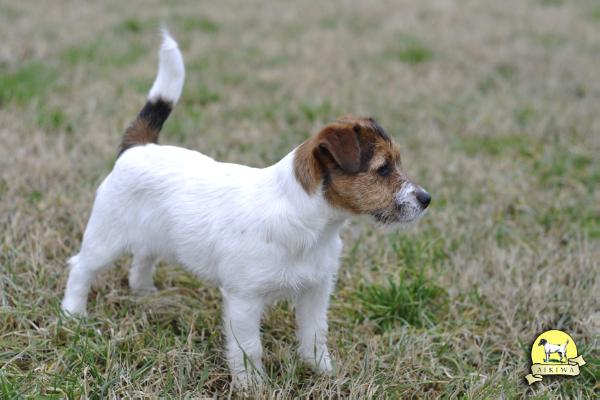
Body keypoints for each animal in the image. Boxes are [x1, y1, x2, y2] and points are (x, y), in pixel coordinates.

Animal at [62, 32, 432, 388]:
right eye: (383, 169)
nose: (426, 199)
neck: (308, 221)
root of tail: (138, 147)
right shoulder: (244, 300)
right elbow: (249, 349)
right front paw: (252, 385)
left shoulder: (315, 291)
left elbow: (315, 336)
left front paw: (324, 372)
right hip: (105, 237)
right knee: (81, 268)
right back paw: (72, 315)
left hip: (155, 233)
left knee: (143, 256)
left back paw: (143, 292)